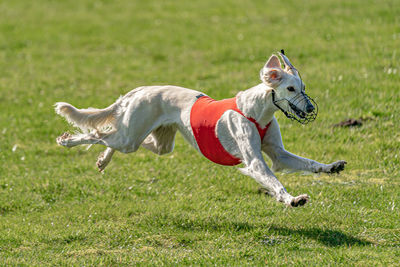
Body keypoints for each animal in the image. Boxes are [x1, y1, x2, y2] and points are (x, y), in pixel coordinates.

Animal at [55, 51, 346, 207]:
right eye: (291, 88)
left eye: (304, 87)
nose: (310, 108)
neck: (256, 111)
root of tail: (138, 90)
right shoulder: (255, 161)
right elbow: (273, 181)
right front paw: (292, 200)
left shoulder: (278, 154)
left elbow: (307, 162)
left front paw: (331, 167)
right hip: (131, 136)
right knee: (98, 134)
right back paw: (67, 141)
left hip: (159, 143)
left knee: (111, 137)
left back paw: (103, 160)